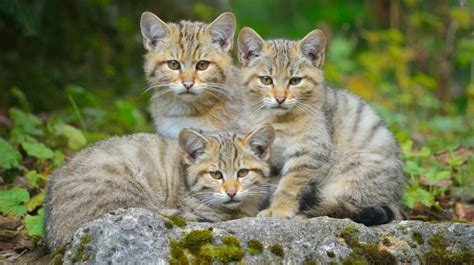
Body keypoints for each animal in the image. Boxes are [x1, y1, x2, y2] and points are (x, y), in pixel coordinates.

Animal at [237, 27, 404, 225]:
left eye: (295, 81)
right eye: (266, 80)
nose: (280, 98)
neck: (274, 119)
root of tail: (397, 200)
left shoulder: (308, 153)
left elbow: (288, 187)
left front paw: (279, 210)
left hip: (354, 171)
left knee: (345, 207)